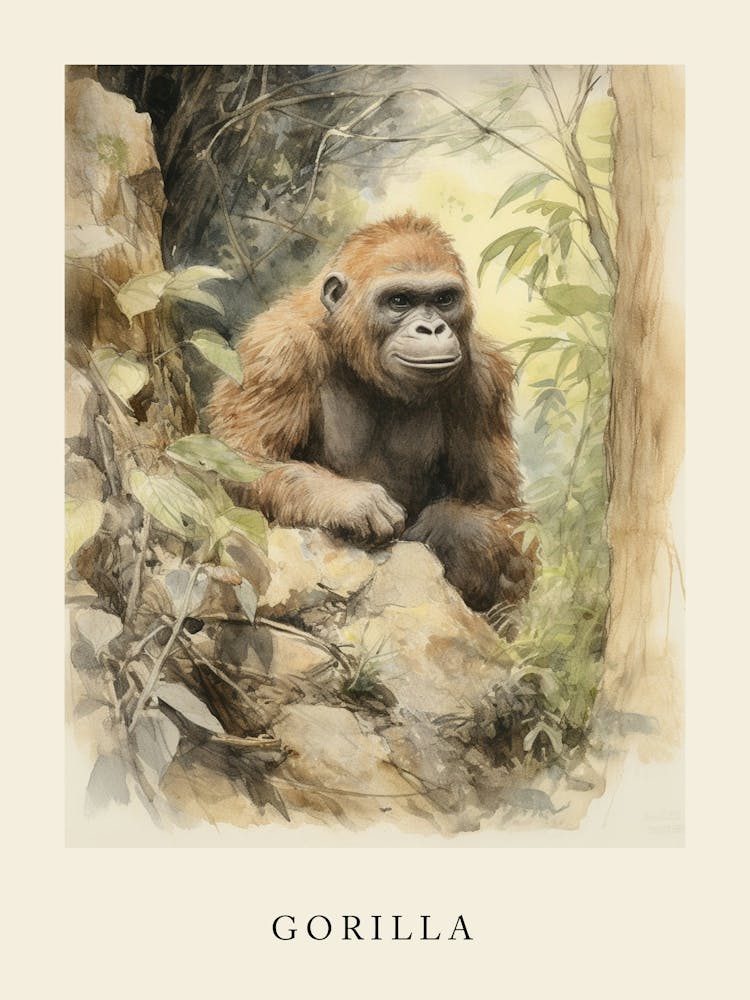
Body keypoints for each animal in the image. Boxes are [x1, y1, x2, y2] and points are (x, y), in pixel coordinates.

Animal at [208, 213, 536, 612]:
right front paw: (348, 501)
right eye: (399, 300)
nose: (432, 328)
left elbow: (505, 513)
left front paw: (453, 527)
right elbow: (235, 465)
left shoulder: (485, 379)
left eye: (444, 299)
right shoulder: (276, 351)